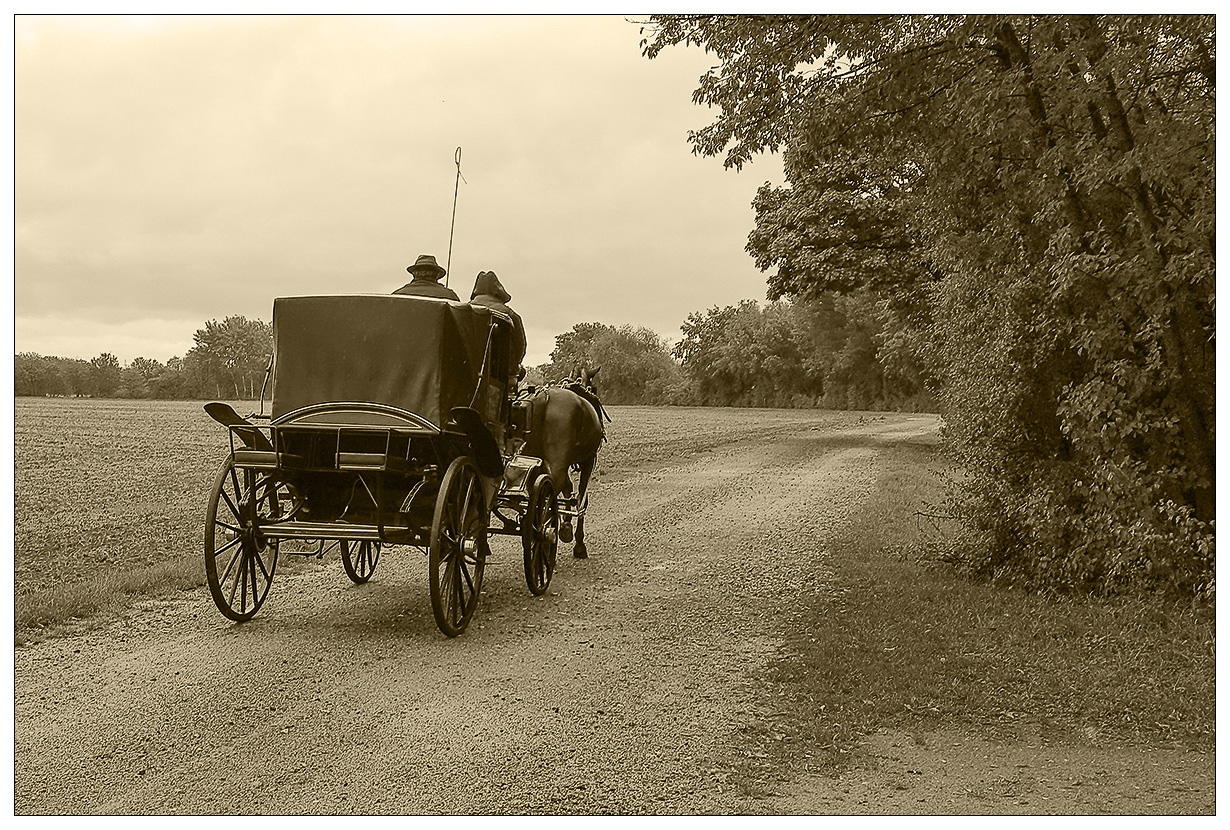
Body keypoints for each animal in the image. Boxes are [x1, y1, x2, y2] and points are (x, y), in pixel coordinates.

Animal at [523, 366, 610, 555]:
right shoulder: (588, 460)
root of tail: (544, 396)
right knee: (551, 492)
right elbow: (581, 498)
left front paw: (566, 527)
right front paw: (579, 543)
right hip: (557, 462)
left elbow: (568, 490)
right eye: (595, 388)